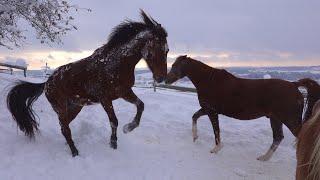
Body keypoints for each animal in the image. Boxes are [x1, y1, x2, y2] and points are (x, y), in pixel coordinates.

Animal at [6, 9, 169, 156]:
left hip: (75, 107)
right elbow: (114, 121)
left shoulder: (125, 92)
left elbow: (140, 105)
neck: (115, 64)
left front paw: (128, 127)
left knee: (64, 127)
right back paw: (74, 152)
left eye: (167, 50)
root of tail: (46, 83)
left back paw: (70, 145)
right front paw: (113, 143)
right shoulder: (105, 98)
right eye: (157, 48)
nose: (161, 78)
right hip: (61, 108)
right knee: (65, 128)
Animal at [165, 55, 320, 161]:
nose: (165, 80)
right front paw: (195, 137)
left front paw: (216, 149)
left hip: (289, 120)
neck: (209, 81)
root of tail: (294, 85)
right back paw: (264, 158)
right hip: (275, 119)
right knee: (278, 138)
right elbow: (194, 117)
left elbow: (216, 130)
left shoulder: (212, 112)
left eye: (174, 65)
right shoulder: (206, 110)